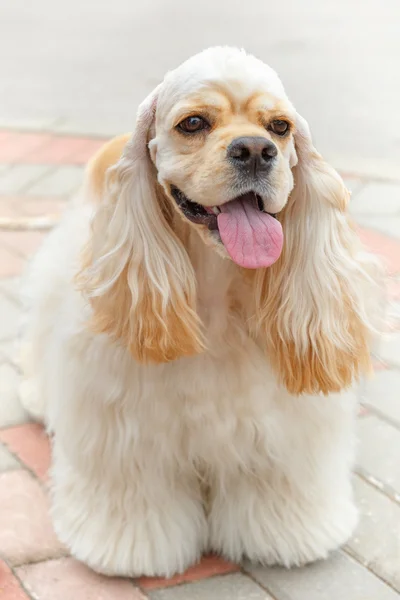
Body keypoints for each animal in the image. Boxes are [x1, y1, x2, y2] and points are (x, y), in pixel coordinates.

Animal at [19, 45, 382, 576]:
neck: (214, 290)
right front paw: (130, 549)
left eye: (280, 126)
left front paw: (289, 534)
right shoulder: (126, 429)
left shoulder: (280, 430)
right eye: (192, 123)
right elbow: (136, 498)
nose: (256, 151)